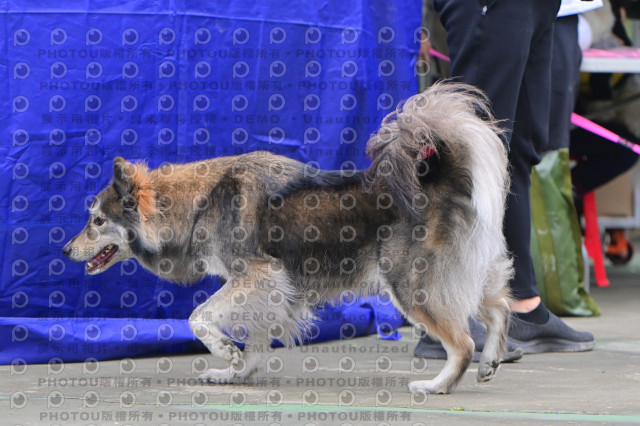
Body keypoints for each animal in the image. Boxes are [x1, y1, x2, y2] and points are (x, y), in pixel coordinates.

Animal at [63, 82, 512, 394]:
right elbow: (256, 340)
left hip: (410, 285)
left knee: (463, 341)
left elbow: (199, 317)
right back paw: (491, 359)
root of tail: (444, 179)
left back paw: (437, 385)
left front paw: (225, 352)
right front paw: (236, 372)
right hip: (463, 274)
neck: (201, 203)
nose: (65, 249)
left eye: (96, 220)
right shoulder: (269, 287)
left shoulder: (258, 276)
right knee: (499, 307)